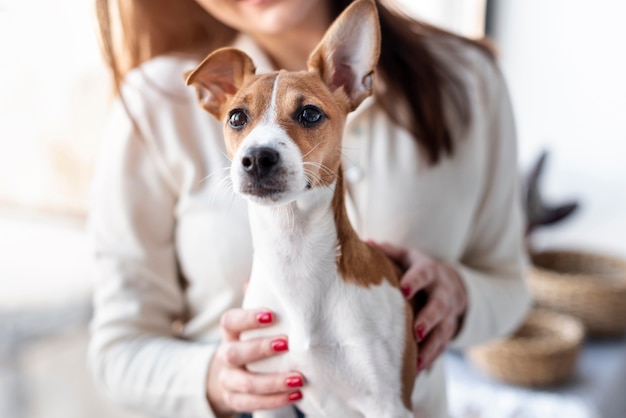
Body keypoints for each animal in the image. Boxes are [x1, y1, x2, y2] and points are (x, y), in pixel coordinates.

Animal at [185, 1, 414, 416]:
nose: (257, 158)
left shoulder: (388, 403)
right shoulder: (269, 395)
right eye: (236, 117)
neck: (294, 250)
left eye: (309, 114)